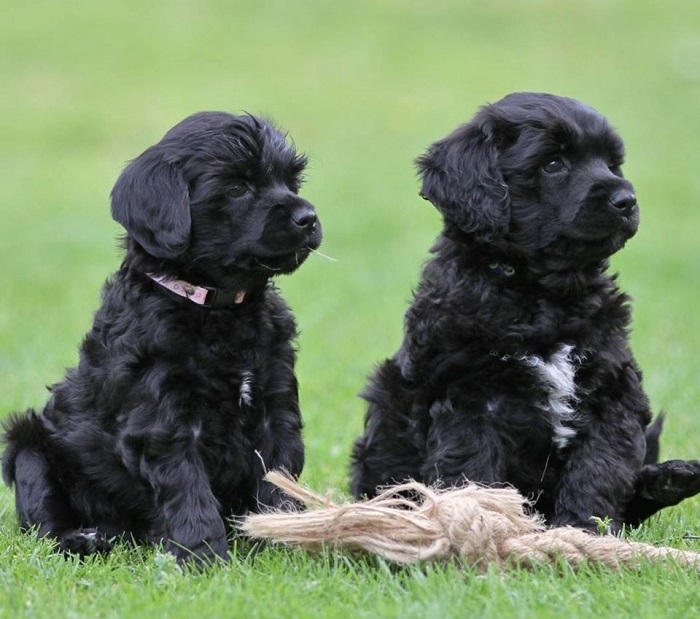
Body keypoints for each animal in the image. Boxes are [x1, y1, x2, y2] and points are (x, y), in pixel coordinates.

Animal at [0, 111, 320, 568]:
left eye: (292, 182)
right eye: (237, 187)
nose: (308, 217)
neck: (219, 310)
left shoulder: (275, 406)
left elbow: (278, 475)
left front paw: (286, 542)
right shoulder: (162, 416)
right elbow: (186, 486)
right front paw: (204, 556)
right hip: (29, 446)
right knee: (43, 522)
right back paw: (86, 539)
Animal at [352, 93, 700, 532]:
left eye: (612, 163)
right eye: (553, 164)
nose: (627, 200)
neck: (543, 295)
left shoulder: (612, 394)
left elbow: (598, 471)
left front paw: (581, 531)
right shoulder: (469, 400)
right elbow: (474, 473)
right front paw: (487, 529)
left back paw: (668, 480)